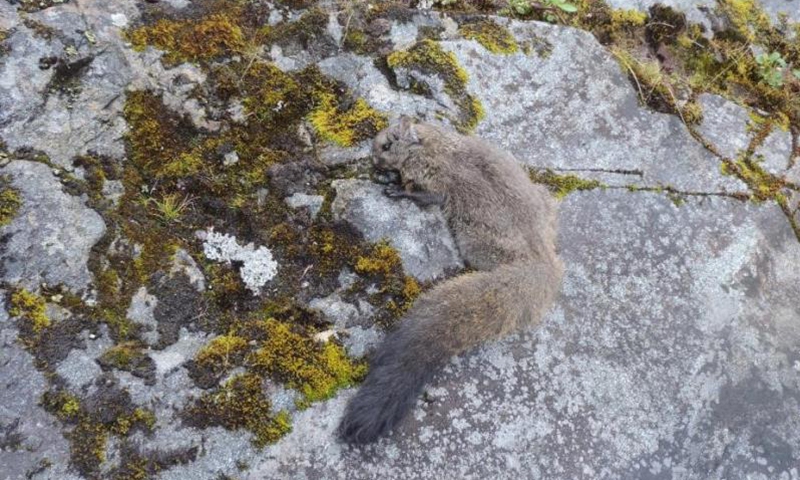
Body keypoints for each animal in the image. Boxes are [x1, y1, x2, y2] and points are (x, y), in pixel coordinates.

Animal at [338, 116, 564, 444]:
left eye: (387, 145)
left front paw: (395, 188)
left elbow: (428, 195)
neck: (434, 144)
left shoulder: (436, 180)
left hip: (474, 239)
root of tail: (542, 263)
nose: (372, 159)